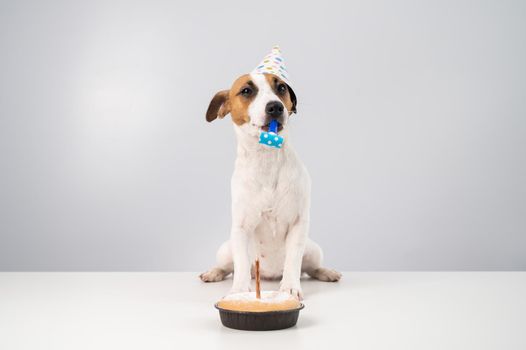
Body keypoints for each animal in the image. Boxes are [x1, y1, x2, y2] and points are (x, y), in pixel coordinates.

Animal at [199, 53, 342, 300]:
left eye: (281, 88)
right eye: (246, 90)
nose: (275, 107)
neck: (266, 158)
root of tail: (268, 276)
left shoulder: (298, 224)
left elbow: (293, 260)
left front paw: (290, 288)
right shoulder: (241, 228)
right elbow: (241, 263)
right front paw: (239, 291)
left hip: (313, 249)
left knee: (310, 267)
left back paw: (326, 272)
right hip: (225, 249)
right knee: (228, 266)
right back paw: (213, 272)